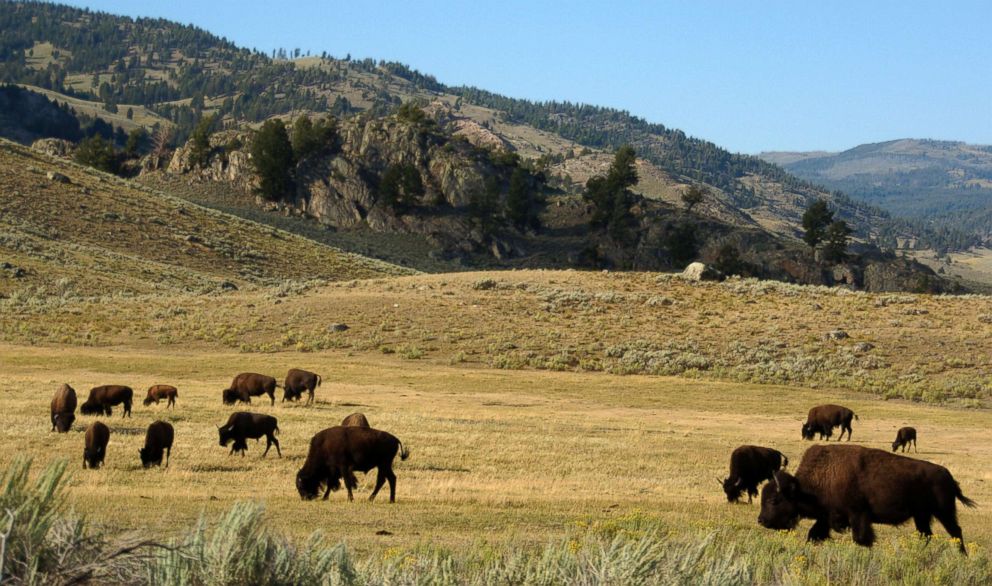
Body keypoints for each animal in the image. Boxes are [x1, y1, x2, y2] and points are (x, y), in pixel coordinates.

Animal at [760, 442, 976, 552]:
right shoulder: (827, 517)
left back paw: (961, 556)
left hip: (944, 512)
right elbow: (814, 534)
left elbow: (862, 539)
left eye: (774, 500)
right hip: (922, 516)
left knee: (955, 531)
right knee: (926, 534)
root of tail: (947, 475)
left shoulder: (858, 515)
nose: (761, 520)